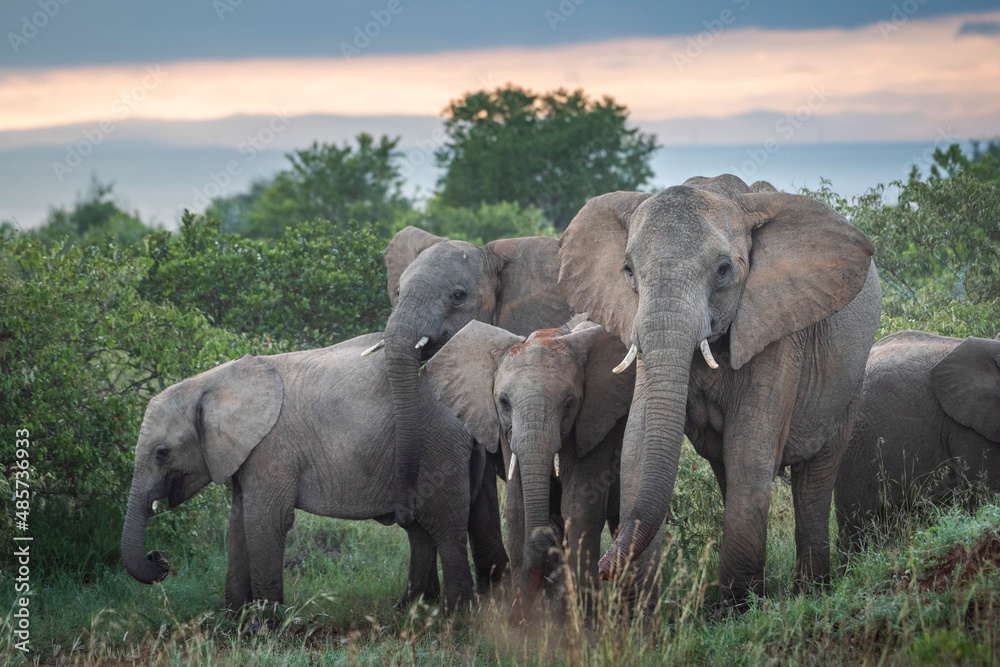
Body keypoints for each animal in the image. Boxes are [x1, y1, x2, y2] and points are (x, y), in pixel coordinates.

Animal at [121, 333, 508, 613]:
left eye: (162, 453)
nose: (159, 558)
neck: (209, 384)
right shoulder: (246, 453)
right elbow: (238, 522)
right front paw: (233, 621)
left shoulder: (272, 447)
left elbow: (265, 520)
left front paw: (262, 627)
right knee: (420, 530)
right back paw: (411, 610)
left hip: (438, 450)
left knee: (446, 528)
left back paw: (452, 619)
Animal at [424, 316, 635, 613]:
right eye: (504, 403)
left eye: (569, 404)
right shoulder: (503, 428)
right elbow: (516, 508)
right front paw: (530, 619)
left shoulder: (594, 420)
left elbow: (579, 506)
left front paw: (580, 618)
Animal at [558, 174, 882, 604]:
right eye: (627, 270)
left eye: (724, 270)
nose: (594, 571)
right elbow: (639, 443)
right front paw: (638, 607)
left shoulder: (778, 329)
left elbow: (750, 448)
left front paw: (736, 608)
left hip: (848, 384)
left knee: (814, 478)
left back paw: (811, 590)